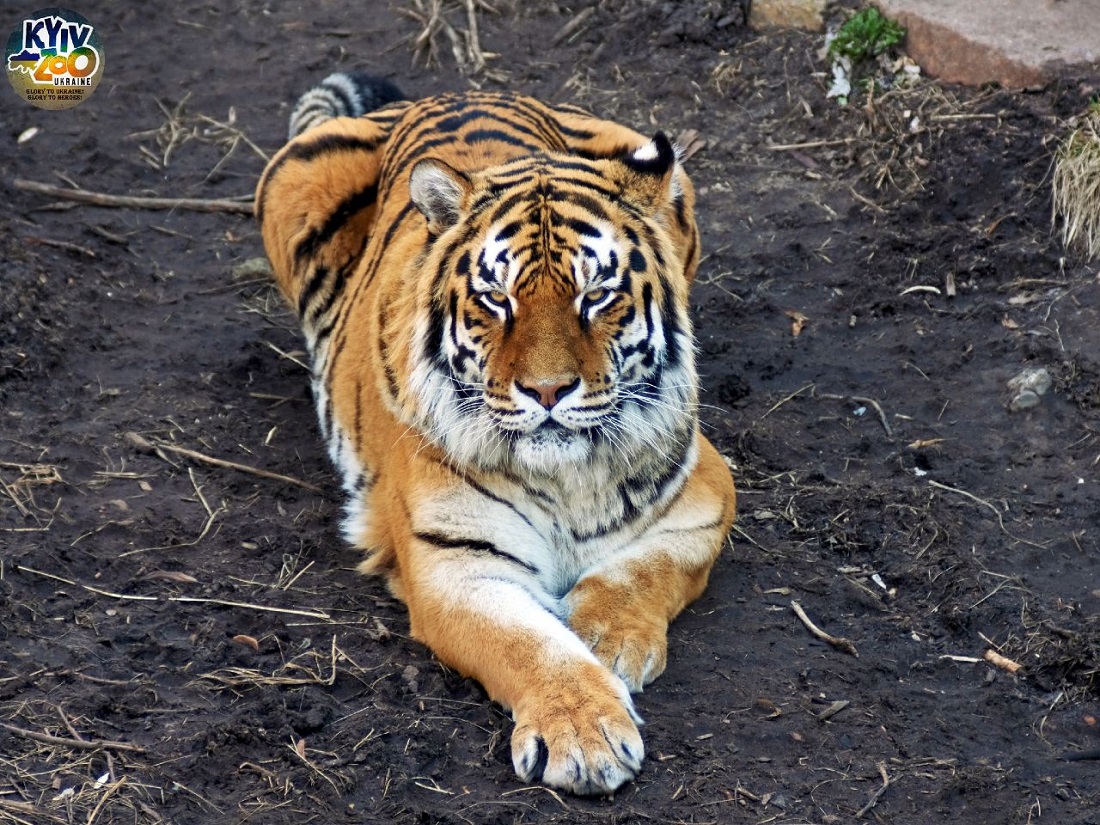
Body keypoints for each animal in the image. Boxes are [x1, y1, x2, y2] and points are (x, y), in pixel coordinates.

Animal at [256, 74, 734, 796]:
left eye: (596, 295)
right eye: (496, 299)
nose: (547, 391)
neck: (568, 478)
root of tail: (449, 93)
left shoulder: (705, 492)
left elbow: (651, 567)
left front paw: (606, 639)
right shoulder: (455, 561)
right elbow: (529, 645)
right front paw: (586, 734)